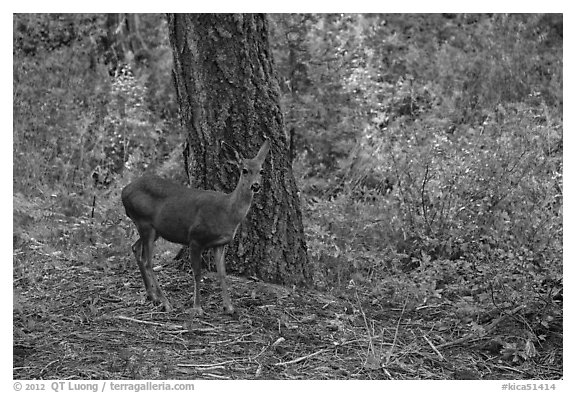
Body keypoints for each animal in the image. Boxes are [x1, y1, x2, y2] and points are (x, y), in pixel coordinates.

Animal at [121, 139, 270, 314]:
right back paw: (165, 302)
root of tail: (124, 191)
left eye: (261, 171)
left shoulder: (220, 244)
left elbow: (222, 274)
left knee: (135, 248)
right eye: (245, 170)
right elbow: (197, 273)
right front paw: (197, 307)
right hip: (145, 223)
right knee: (148, 262)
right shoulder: (195, 238)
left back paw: (152, 296)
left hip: (153, 228)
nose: (255, 186)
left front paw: (229, 307)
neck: (227, 212)